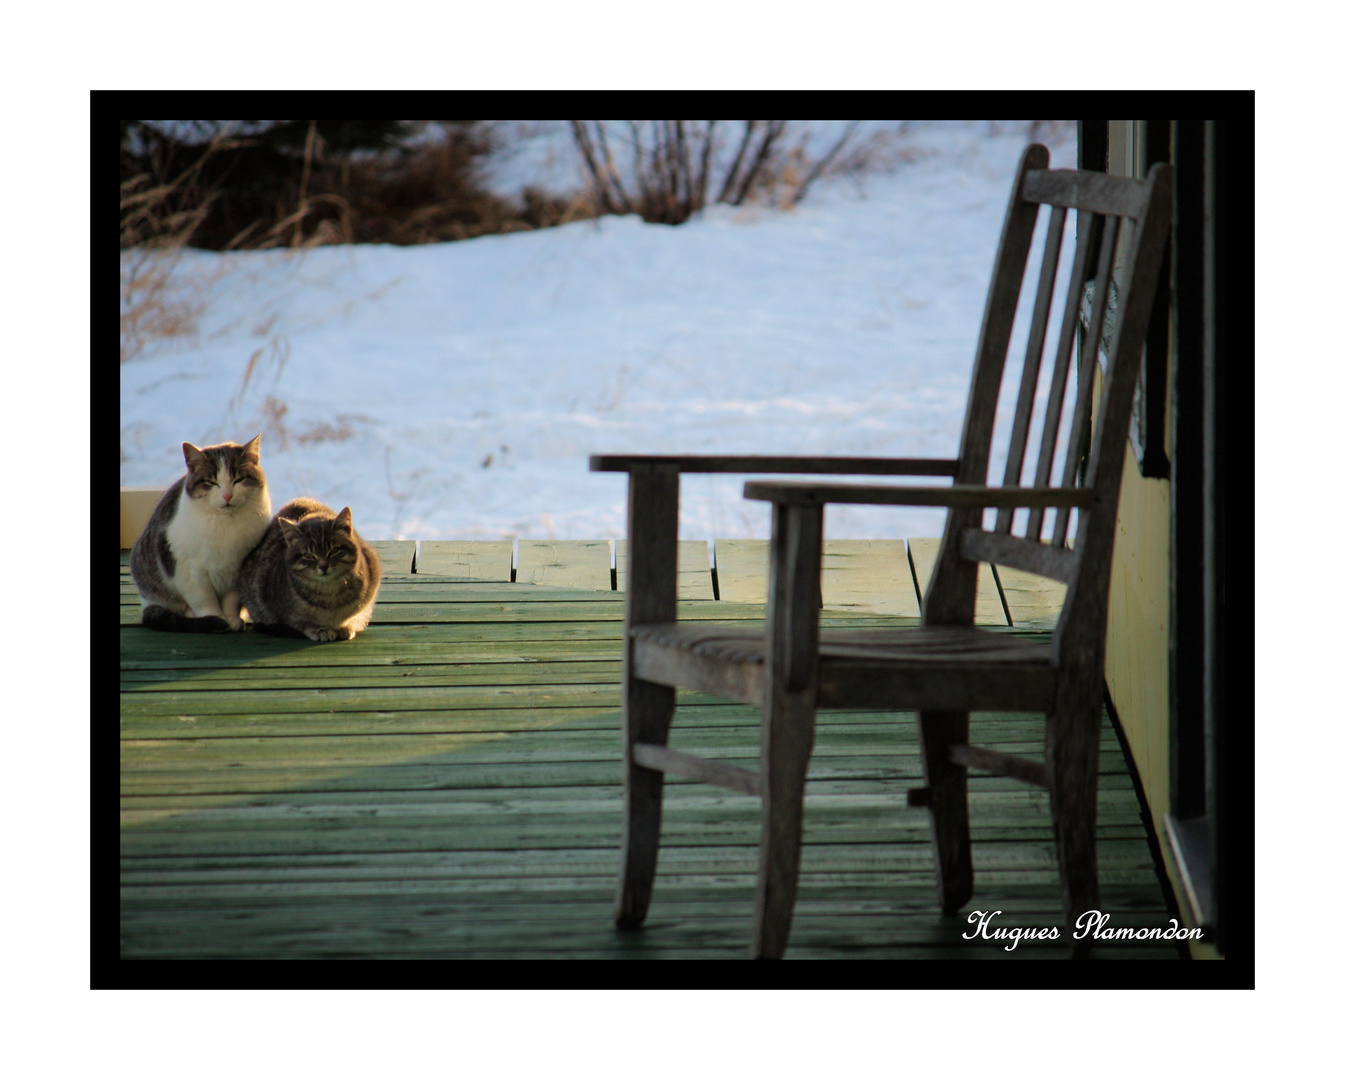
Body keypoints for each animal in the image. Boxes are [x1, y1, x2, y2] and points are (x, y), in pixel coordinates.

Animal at [129, 433, 271, 634]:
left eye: (239, 480)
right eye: (211, 482)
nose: (227, 496)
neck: (226, 525)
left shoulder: (238, 568)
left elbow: (231, 600)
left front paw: (232, 618)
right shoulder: (189, 570)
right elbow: (204, 600)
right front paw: (216, 619)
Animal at [236, 497, 381, 642]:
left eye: (334, 550)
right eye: (309, 555)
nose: (323, 566)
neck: (330, 595)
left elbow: (355, 616)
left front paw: (346, 626)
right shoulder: (275, 607)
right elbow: (301, 622)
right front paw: (320, 629)